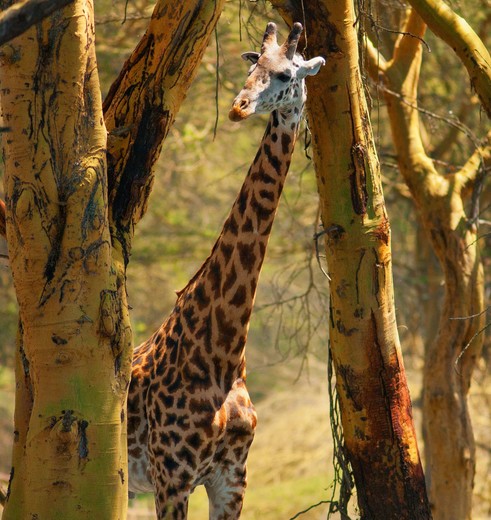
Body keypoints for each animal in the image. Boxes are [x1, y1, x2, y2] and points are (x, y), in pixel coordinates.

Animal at [129, 23, 324, 520]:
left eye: (286, 74)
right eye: (252, 68)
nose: (238, 108)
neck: (223, 353)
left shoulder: (232, 478)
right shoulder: (172, 476)